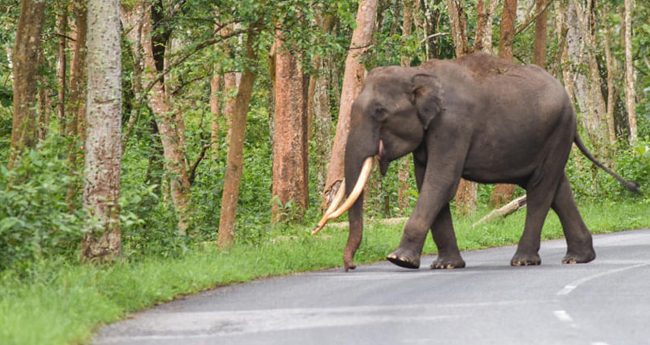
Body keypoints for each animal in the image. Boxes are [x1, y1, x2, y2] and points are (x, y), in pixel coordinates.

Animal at [316, 51, 636, 272]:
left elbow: (441, 182)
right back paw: (578, 259)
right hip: (549, 136)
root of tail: (569, 101)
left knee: (541, 188)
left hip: (558, 130)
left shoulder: (453, 125)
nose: (351, 266)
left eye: (379, 111)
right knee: (558, 187)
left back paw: (523, 261)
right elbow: (427, 182)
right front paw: (445, 265)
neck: (418, 73)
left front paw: (399, 260)